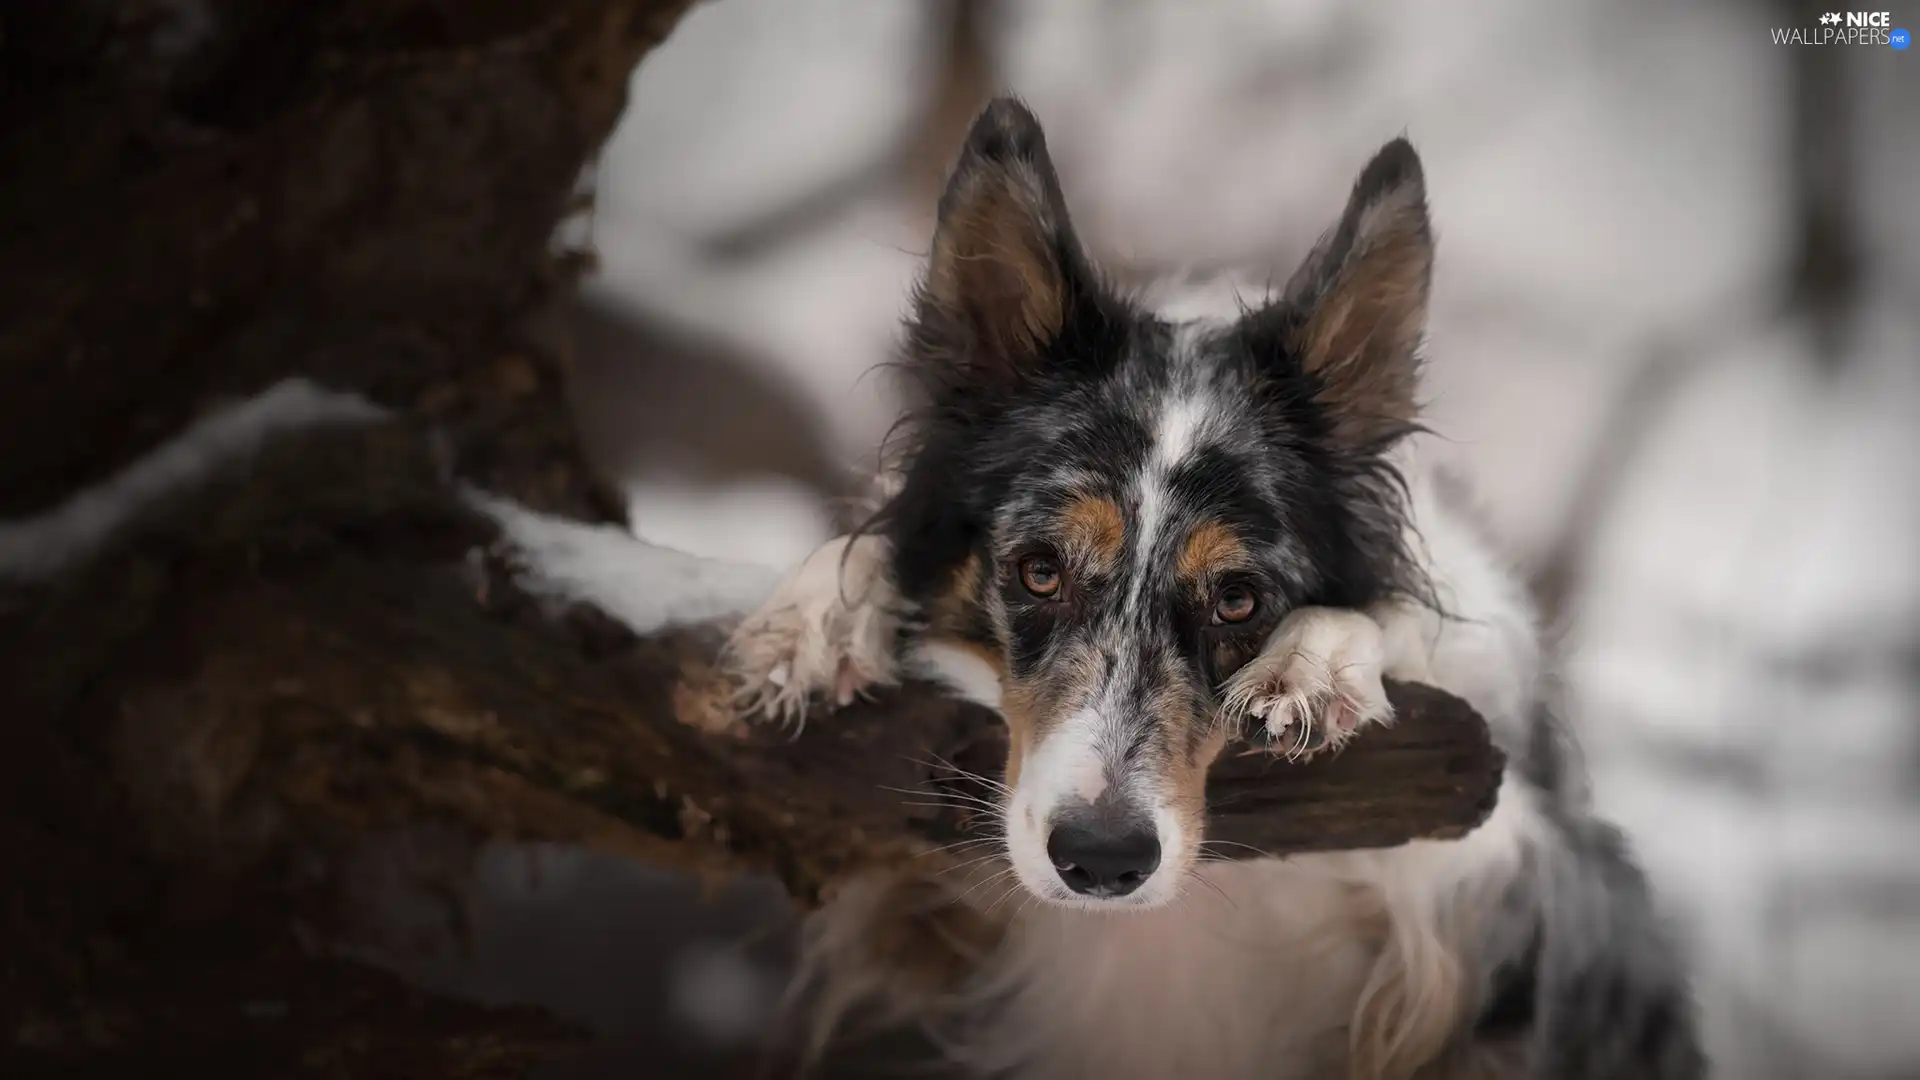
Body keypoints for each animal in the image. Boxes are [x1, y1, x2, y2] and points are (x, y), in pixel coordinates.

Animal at [718, 100, 1697, 1076]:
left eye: (1238, 600)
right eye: (1039, 571)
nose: (1101, 860)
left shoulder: (1540, 893)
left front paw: (1319, 663)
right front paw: (819, 613)